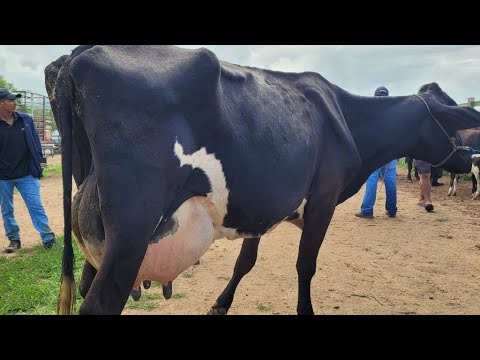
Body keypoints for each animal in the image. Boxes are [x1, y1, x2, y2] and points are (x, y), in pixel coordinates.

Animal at [46, 45, 480, 316]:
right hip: (131, 232)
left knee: (83, 285)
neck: (347, 119)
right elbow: (306, 265)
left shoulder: (258, 208)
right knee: (99, 302)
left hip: (96, 231)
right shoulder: (322, 200)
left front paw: (219, 304)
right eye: (451, 117)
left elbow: (245, 262)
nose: (467, 157)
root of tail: (78, 56)